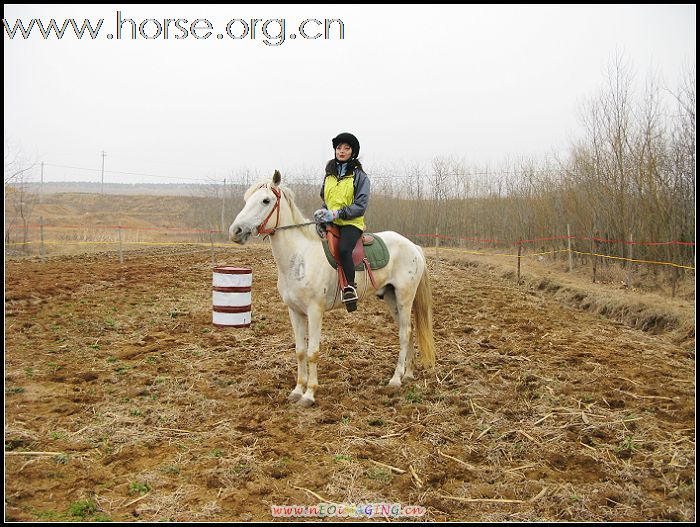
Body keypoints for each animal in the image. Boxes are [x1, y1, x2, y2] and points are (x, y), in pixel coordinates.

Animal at [230, 171, 434, 406]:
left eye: (265, 200)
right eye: (247, 199)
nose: (236, 231)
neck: (300, 254)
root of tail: (413, 246)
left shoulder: (314, 312)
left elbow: (313, 352)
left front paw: (309, 394)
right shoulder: (295, 311)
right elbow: (300, 351)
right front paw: (297, 390)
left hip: (404, 297)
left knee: (404, 333)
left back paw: (396, 378)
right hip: (391, 298)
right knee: (407, 331)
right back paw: (408, 374)